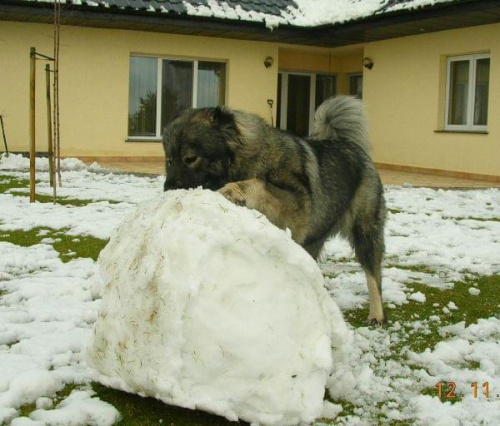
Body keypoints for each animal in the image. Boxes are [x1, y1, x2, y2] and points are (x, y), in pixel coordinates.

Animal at [162, 96, 384, 326]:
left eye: (190, 158)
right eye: (169, 159)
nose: (167, 188)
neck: (249, 157)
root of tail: (353, 147)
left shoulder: (296, 202)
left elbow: (259, 183)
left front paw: (232, 190)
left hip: (364, 231)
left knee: (374, 276)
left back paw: (376, 314)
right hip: (314, 239)